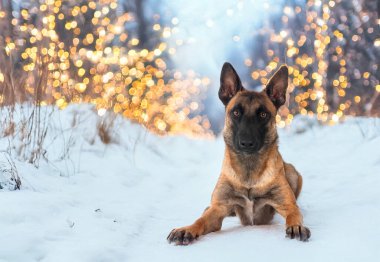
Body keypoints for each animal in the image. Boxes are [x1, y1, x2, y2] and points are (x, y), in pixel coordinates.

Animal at [168, 62, 310, 245]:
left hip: (292, 172)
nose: (246, 143)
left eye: (263, 114)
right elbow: (201, 220)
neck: (249, 170)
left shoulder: (287, 205)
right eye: (235, 113)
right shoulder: (218, 209)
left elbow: (294, 214)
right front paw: (187, 229)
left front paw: (296, 226)